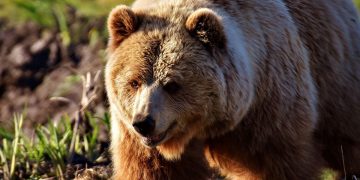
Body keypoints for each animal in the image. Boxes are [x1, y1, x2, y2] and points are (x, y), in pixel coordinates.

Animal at [103, 0, 360, 179]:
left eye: (172, 84)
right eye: (134, 81)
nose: (144, 122)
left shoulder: (268, 110)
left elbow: (276, 164)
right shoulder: (133, 135)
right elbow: (155, 170)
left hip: (335, 78)